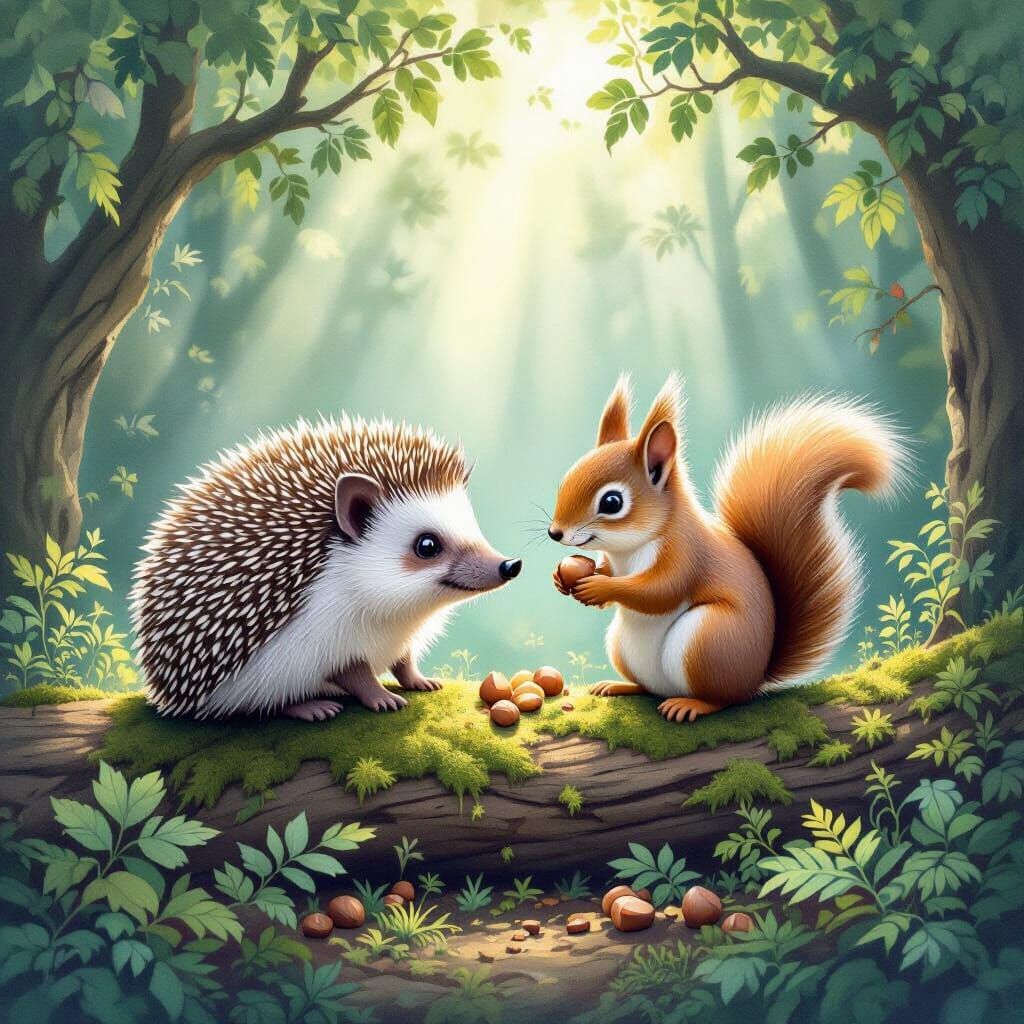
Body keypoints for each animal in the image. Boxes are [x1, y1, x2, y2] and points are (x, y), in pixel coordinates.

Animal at [548, 373, 907, 722]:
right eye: (566, 479)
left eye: (611, 502)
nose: (554, 532)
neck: (631, 549)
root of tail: (755, 678)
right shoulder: (616, 559)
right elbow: (612, 573)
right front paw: (563, 578)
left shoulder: (686, 553)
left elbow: (660, 591)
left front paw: (599, 587)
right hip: (623, 646)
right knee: (649, 688)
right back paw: (619, 686)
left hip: (707, 640)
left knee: (725, 699)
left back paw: (692, 705)